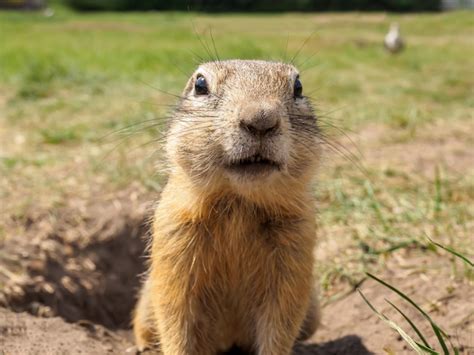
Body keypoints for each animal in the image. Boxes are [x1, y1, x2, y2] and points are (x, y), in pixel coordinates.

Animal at [133, 59, 322, 354]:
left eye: (298, 87)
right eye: (200, 84)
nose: (261, 119)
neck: (237, 202)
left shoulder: (296, 244)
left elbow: (282, 320)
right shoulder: (175, 237)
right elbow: (174, 314)